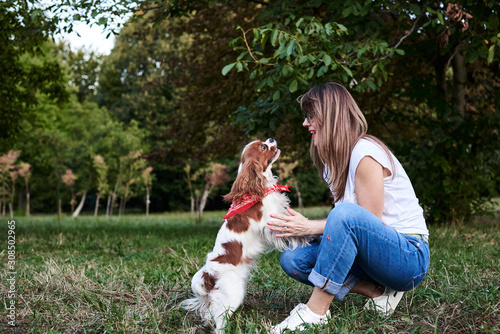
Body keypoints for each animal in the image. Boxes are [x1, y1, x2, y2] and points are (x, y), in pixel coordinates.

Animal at [182, 138, 310, 332]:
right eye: (263, 147)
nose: (271, 139)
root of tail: (208, 276)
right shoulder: (271, 224)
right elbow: (290, 231)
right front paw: (308, 238)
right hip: (233, 295)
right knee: (219, 323)